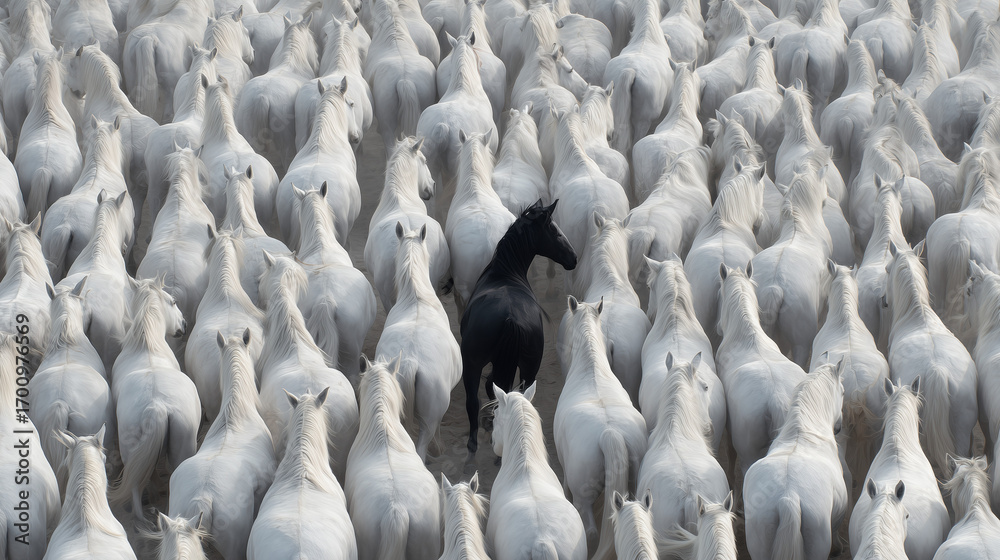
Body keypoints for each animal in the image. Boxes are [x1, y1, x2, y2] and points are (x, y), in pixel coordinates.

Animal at [460, 200, 577, 454]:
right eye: (554, 231)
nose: (574, 257)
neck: (503, 274)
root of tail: (510, 318)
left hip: (475, 363)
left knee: (474, 401)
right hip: (522, 366)